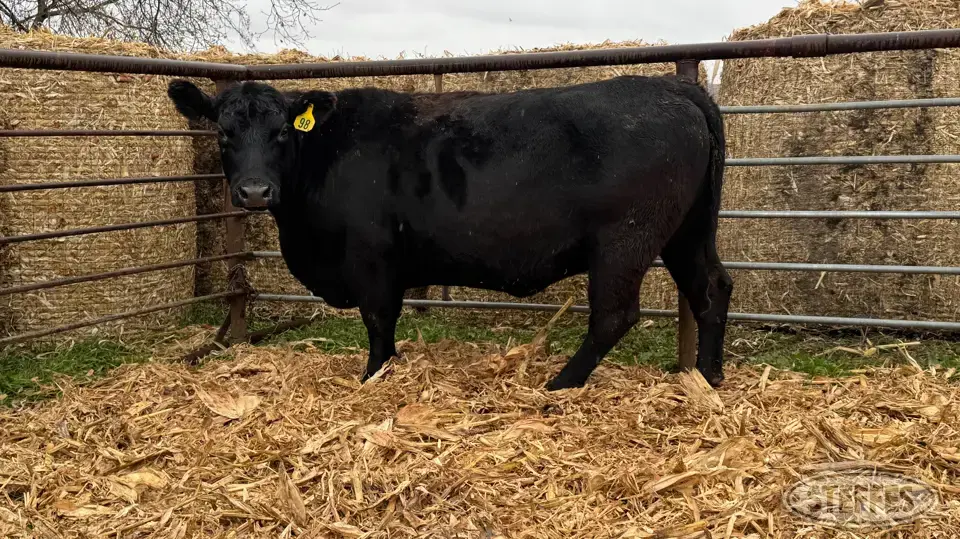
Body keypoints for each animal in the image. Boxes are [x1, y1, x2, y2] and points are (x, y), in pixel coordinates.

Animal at [167, 74, 732, 391]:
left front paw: (373, 376)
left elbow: (378, 319)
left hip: (625, 240)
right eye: (223, 132)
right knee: (711, 288)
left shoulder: (371, 255)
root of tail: (675, 88)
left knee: (615, 315)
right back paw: (708, 376)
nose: (254, 191)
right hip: (686, 231)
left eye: (283, 130)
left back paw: (561, 384)